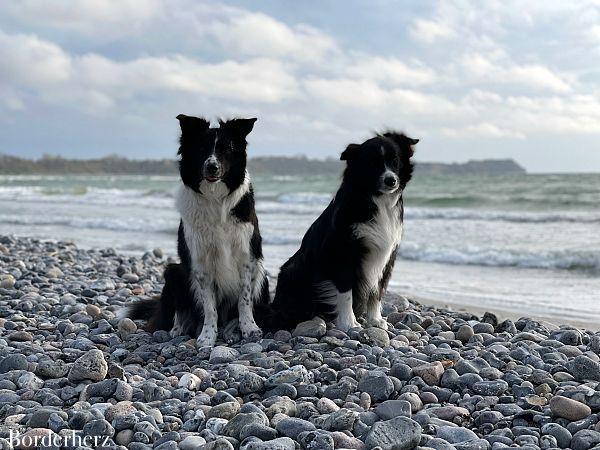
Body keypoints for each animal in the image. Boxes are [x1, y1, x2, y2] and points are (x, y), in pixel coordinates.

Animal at [123, 114, 268, 346]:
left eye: (227, 149)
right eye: (201, 148)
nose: (212, 167)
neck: (215, 198)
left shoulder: (247, 257)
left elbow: (244, 300)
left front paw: (249, 328)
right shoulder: (200, 263)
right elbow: (209, 307)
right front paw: (207, 337)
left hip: (263, 274)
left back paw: (231, 330)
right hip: (174, 272)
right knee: (183, 310)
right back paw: (178, 329)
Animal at [258, 132, 418, 332]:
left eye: (395, 160)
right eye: (372, 163)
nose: (391, 180)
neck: (376, 199)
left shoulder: (386, 256)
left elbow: (377, 290)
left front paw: (375, 320)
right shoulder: (342, 252)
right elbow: (345, 290)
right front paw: (349, 322)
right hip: (293, 271)